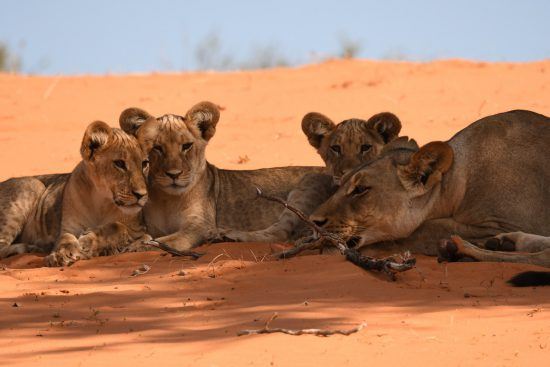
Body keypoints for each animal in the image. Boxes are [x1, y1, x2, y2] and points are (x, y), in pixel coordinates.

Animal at [0, 121, 152, 268]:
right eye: (119, 163)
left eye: (144, 164)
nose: (141, 195)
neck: (101, 201)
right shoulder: (68, 228)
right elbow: (65, 239)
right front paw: (61, 254)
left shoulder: (138, 229)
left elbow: (117, 227)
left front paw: (87, 243)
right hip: (32, 184)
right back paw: (29, 247)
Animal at [121, 102, 404, 249]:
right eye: (157, 148)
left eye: (186, 146)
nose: (174, 174)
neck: (169, 199)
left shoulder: (198, 225)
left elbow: (168, 240)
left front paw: (141, 245)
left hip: (303, 189)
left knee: (278, 234)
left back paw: (228, 235)